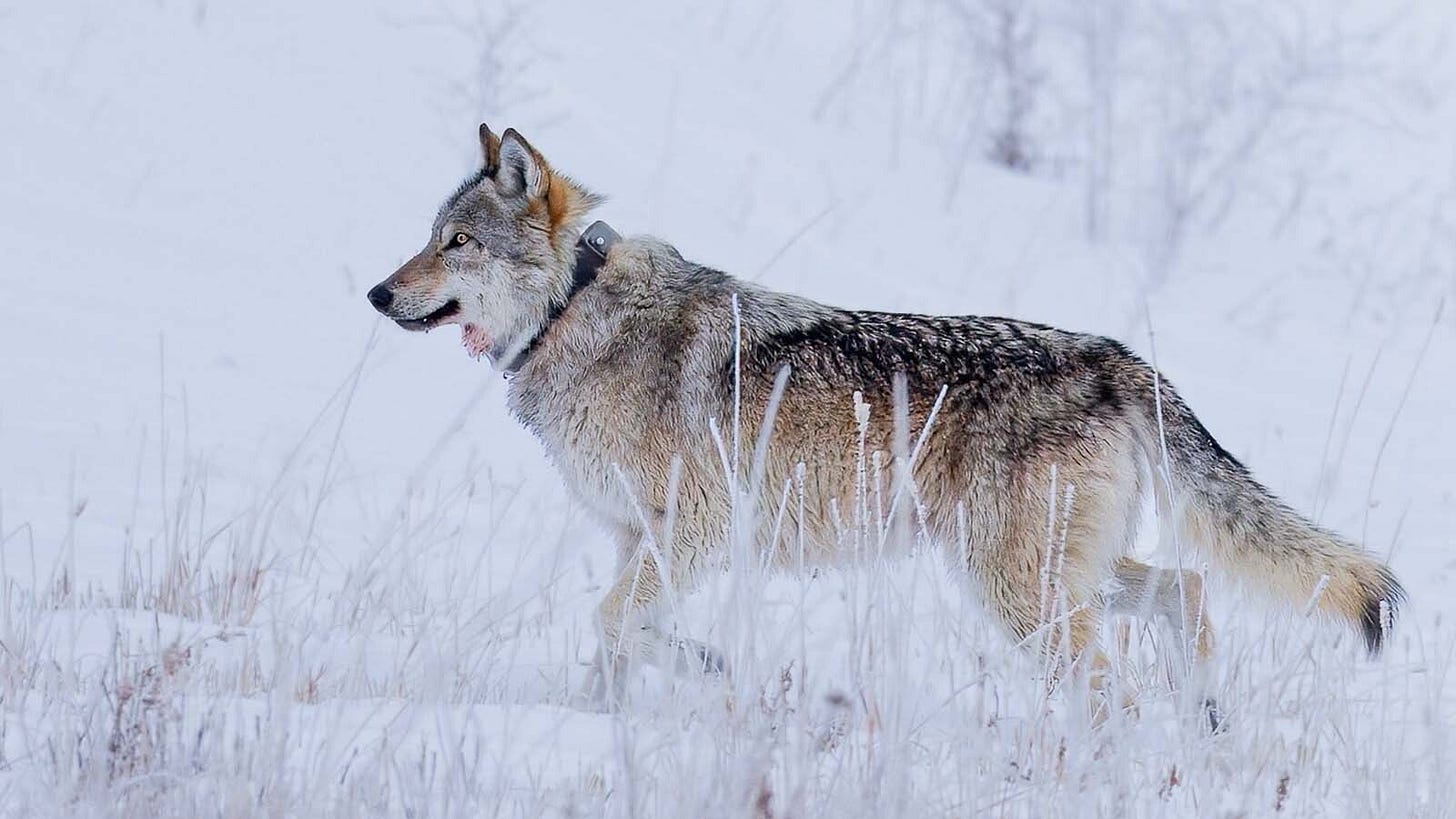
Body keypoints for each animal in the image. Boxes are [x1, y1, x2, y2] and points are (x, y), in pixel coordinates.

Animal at [367, 123, 1404, 716]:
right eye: (428, 235)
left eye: (458, 243)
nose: (378, 293)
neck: (575, 310)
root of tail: (1121, 359)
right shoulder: (636, 540)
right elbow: (611, 644)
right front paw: (596, 728)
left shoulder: (691, 532)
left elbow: (620, 623)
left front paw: (709, 667)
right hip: (1051, 574)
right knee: (1187, 593)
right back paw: (1202, 722)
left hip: (1017, 590)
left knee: (1112, 682)